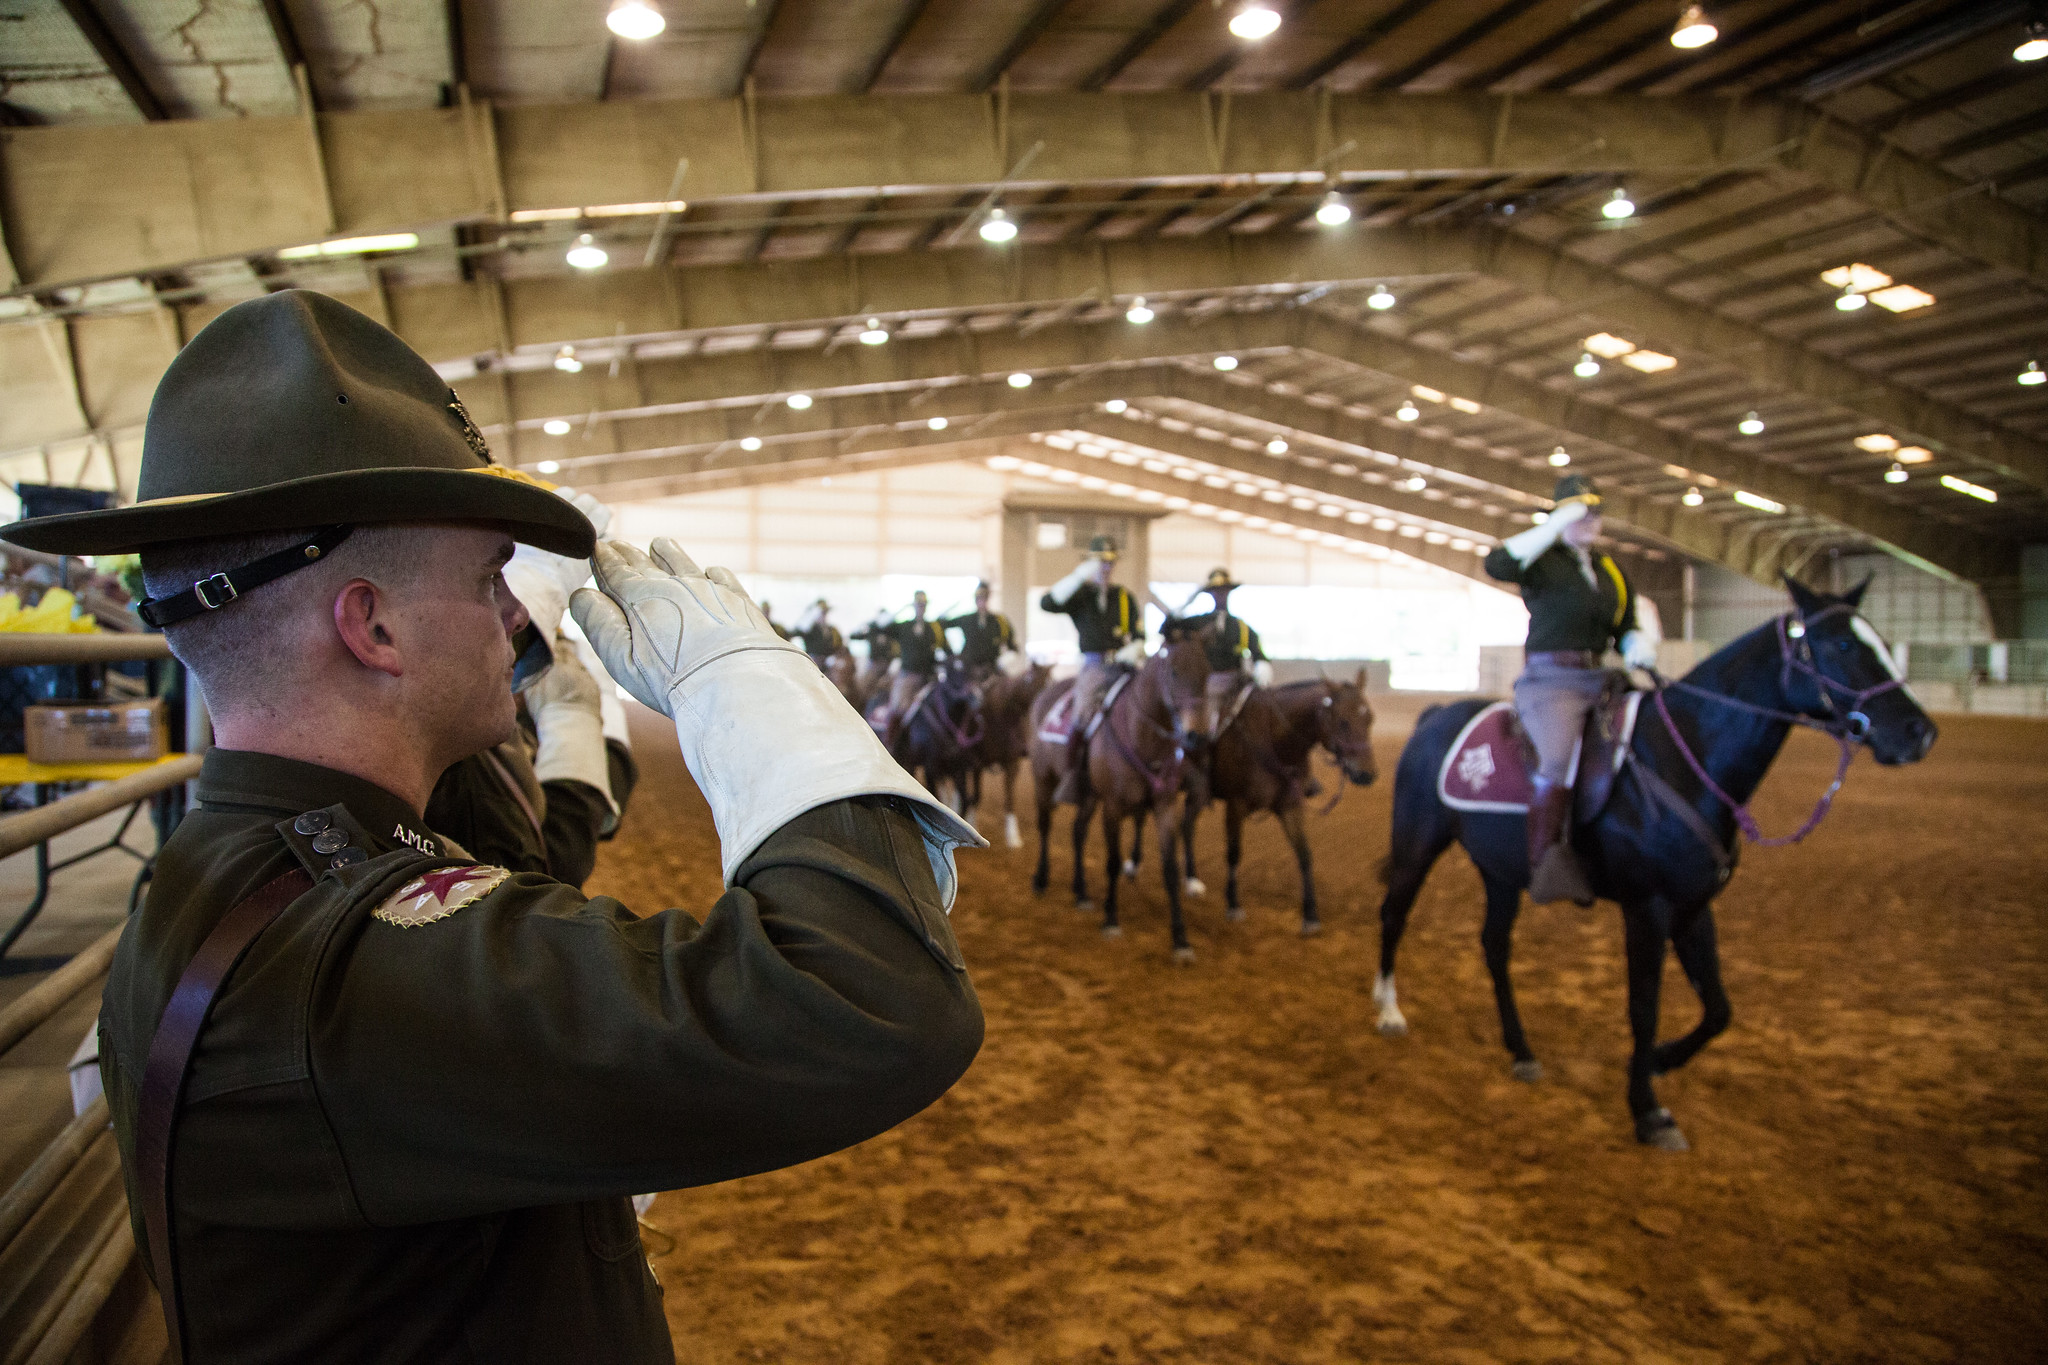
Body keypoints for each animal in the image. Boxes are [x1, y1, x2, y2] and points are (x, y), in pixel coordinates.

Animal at [1024, 626, 1212, 961]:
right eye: (1174, 671)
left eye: (1207, 672)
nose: (1196, 737)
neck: (1144, 736)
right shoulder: (1112, 806)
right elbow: (1112, 861)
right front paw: (1111, 918)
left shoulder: (1164, 806)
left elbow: (1170, 869)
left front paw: (1180, 938)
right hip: (1043, 780)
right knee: (1045, 825)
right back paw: (1041, 879)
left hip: (1088, 797)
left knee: (1077, 832)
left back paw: (1081, 891)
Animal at [1179, 675, 1384, 941]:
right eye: (1343, 722)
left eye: (1370, 718)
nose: (1367, 774)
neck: (1275, 741)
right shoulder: (1236, 805)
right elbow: (1234, 853)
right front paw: (1233, 905)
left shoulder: (1290, 807)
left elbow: (1304, 855)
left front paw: (1311, 916)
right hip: (1198, 792)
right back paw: (1189, 880)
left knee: (1186, 825)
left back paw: (1192, 881)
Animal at [1376, 577, 1933, 1154]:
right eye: (1842, 644)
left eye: (1879, 638)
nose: (1918, 731)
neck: (1682, 760)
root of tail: (1434, 715)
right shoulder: (1648, 908)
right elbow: (1644, 1008)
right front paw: (1647, 1110)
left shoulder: (1693, 908)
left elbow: (1718, 1009)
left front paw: (1663, 1061)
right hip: (1417, 845)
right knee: (1394, 915)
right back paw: (1390, 1012)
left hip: (1502, 873)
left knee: (1494, 946)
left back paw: (1521, 1050)